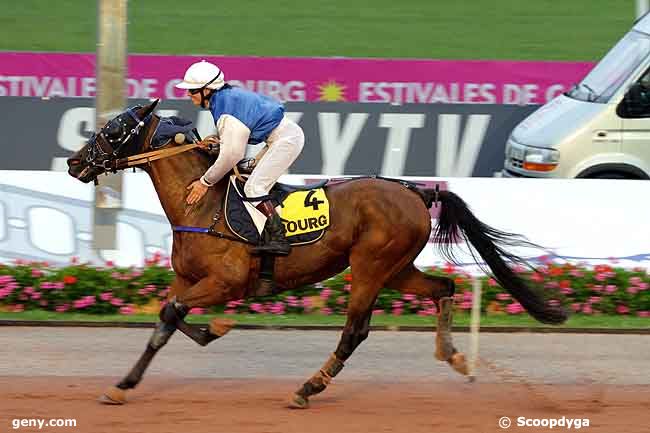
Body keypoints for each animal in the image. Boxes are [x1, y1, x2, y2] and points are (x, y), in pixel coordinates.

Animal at [64, 100, 560, 408]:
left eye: (113, 129)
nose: (74, 162)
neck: (200, 207)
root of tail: (416, 191)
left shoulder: (225, 282)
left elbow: (171, 314)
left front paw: (214, 328)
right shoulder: (188, 280)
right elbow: (167, 318)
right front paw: (124, 384)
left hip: (370, 266)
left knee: (355, 330)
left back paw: (308, 387)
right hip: (397, 267)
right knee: (443, 286)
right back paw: (454, 356)